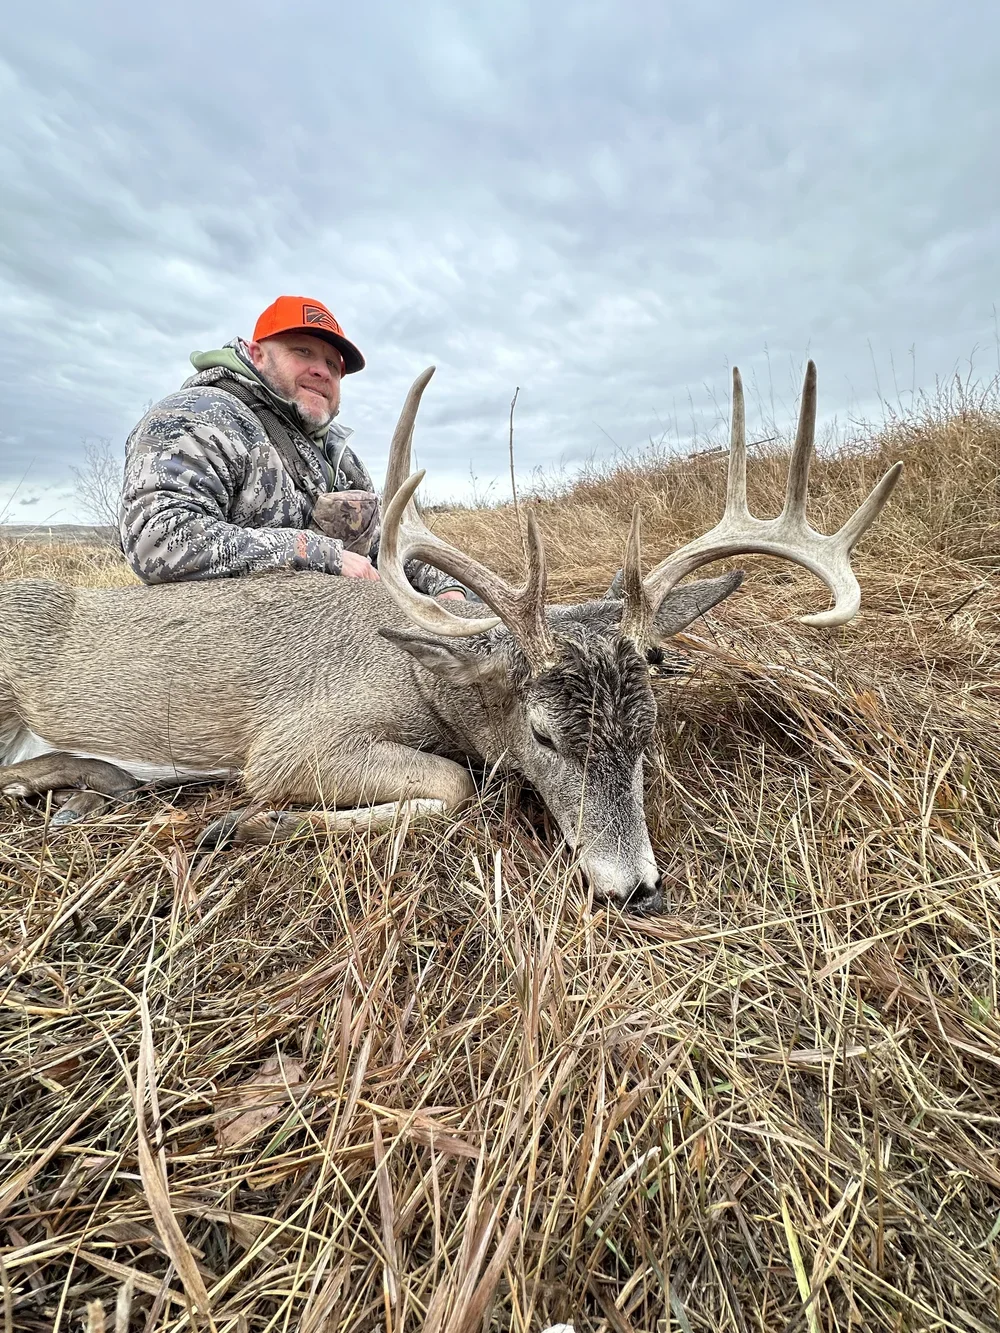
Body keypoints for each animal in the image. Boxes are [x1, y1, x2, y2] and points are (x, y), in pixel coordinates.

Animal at [0, 361, 901, 913]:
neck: (424, 672)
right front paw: (247, 823)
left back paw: (88, 789)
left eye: (649, 729)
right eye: (543, 732)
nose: (637, 888)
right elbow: (454, 786)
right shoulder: (290, 742)